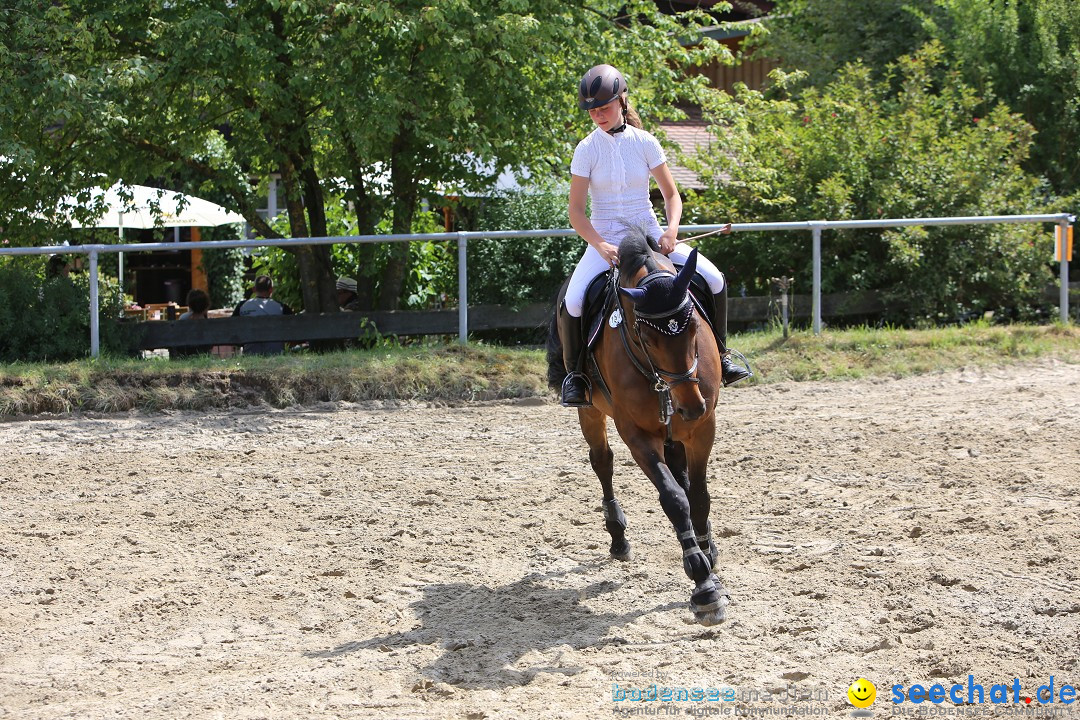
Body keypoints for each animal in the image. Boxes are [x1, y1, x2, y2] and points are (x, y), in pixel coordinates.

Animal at [544, 225, 730, 626]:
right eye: (647, 337)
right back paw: (618, 537)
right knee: (602, 461)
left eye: (695, 324)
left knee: (681, 474)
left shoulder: (703, 428)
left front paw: (708, 557)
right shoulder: (636, 434)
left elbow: (698, 496)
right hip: (591, 411)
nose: (690, 406)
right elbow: (674, 498)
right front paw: (703, 585)